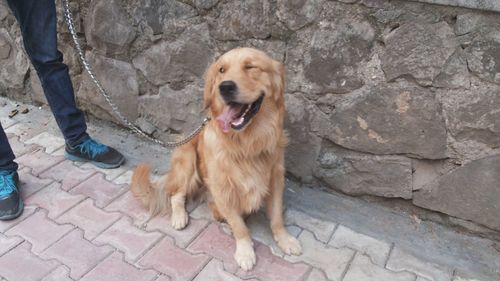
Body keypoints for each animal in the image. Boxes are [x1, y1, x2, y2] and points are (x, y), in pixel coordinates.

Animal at [131, 47, 300, 270]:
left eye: (250, 66)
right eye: (221, 70)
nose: (225, 87)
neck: (247, 143)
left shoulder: (275, 178)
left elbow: (276, 217)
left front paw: (285, 239)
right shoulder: (221, 187)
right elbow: (238, 223)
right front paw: (245, 251)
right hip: (187, 160)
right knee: (176, 194)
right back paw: (180, 216)